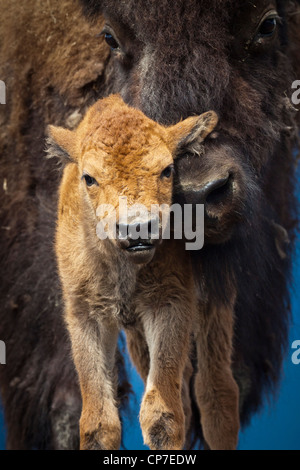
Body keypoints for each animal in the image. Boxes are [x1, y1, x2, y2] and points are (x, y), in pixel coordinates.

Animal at [47, 93, 239, 450]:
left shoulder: (171, 303)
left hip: (214, 300)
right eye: (89, 177)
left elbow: (163, 416)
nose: (137, 227)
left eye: (167, 170)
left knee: (215, 391)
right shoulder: (85, 313)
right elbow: (99, 422)